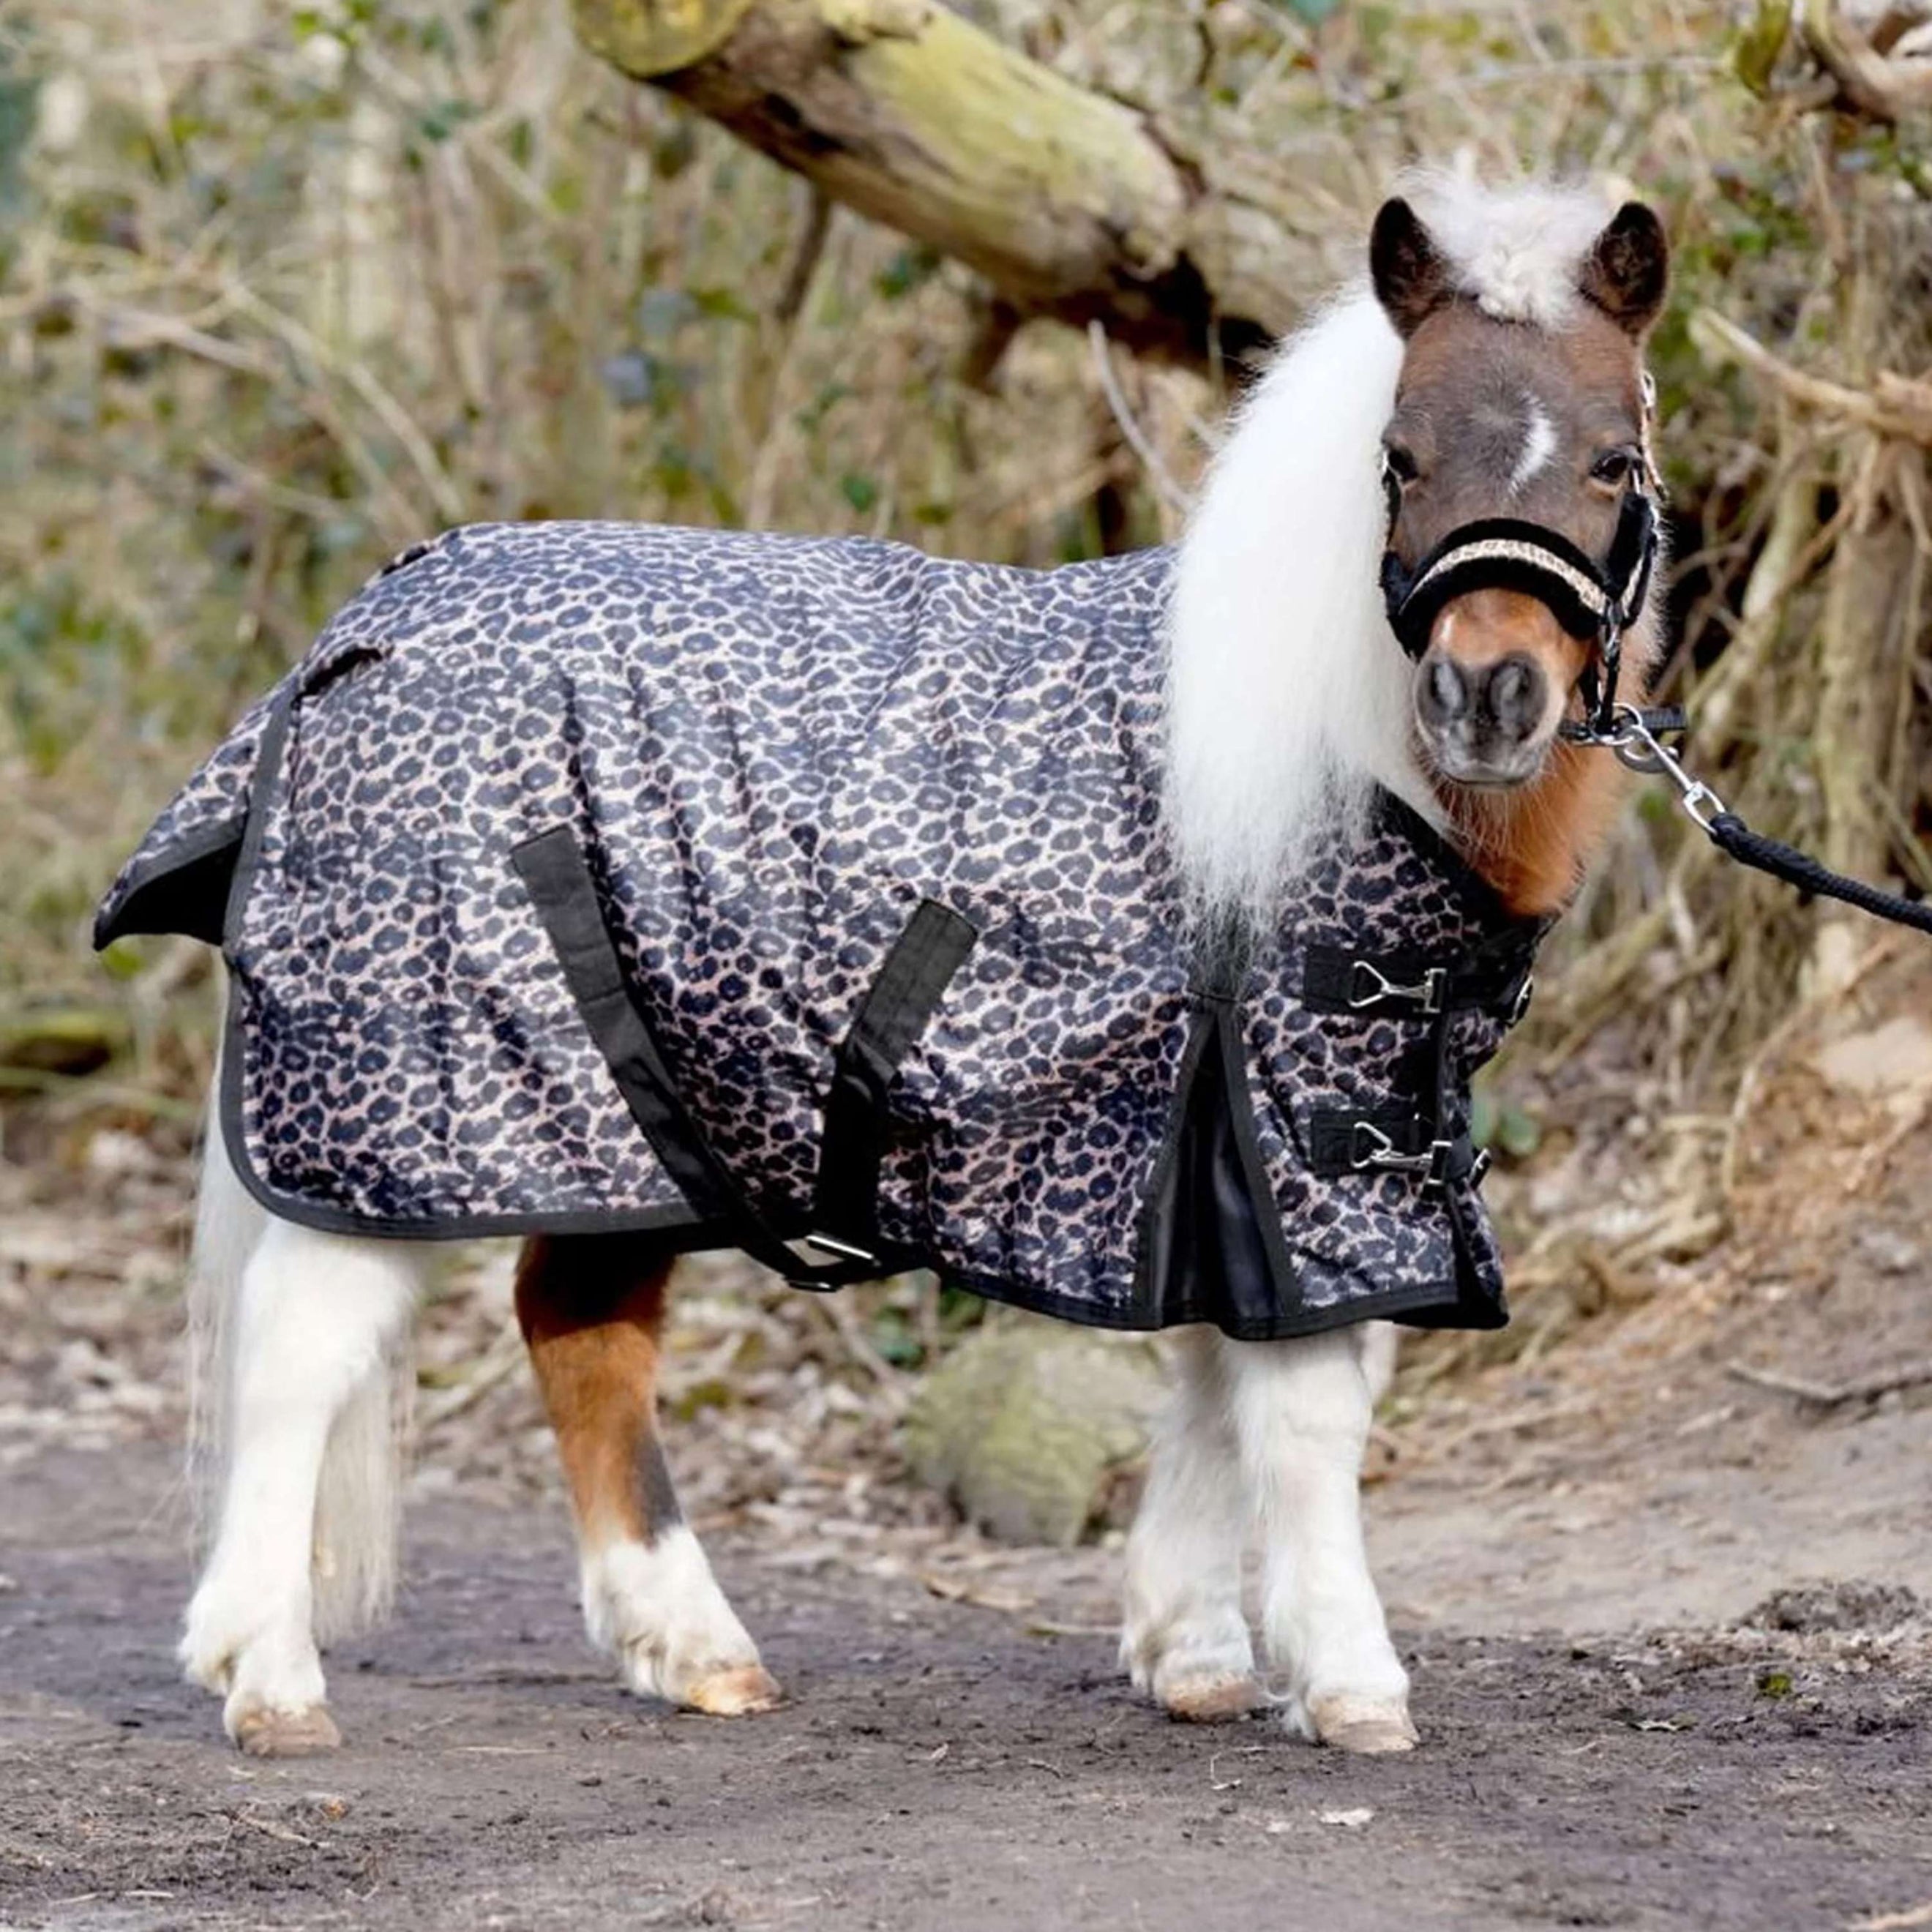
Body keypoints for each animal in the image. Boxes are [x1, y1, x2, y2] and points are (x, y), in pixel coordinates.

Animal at [102, 174, 1670, 1758]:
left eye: (1614, 459)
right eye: (1399, 459)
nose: (1488, 694)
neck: (1308, 739)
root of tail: (363, 632)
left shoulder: (1234, 1137)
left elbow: (1216, 1380)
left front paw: (1194, 1650)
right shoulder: (1298, 1120)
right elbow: (1304, 1403)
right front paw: (1349, 1679)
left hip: (636, 1117)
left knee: (578, 1327)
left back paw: (690, 1647)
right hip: (404, 1103)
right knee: (302, 1349)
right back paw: (268, 1676)